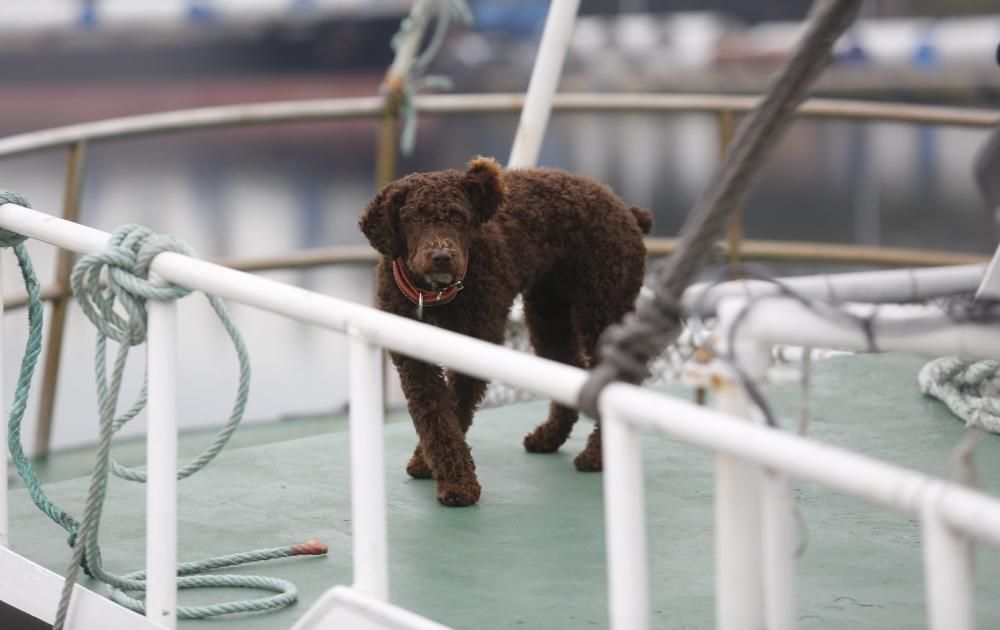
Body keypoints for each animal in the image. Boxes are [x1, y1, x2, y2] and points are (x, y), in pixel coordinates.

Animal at [358, 157, 648, 508]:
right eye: (413, 217)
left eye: (458, 216)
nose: (442, 256)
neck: (434, 296)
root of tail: (625, 209)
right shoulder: (413, 361)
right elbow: (435, 417)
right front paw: (435, 468)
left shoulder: (477, 344)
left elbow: (455, 412)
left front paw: (457, 483)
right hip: (548, 312)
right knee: (569, 365)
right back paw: (548, 436)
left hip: (603, 309)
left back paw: (596, 456)